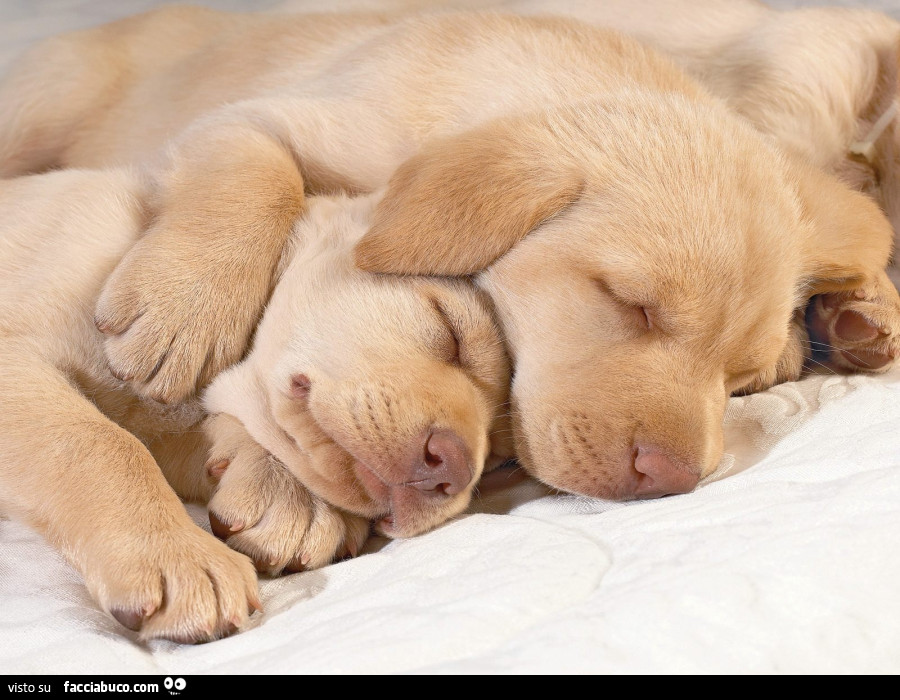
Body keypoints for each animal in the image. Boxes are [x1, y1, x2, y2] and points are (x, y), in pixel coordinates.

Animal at [0, 8, 888, 506]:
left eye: (741, 380)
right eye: (628, 303)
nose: (673, 480)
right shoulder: (248, 119)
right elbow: (253, 172)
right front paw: (186, 307)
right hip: (42, 100)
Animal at [1, 170, 512, 640]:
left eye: (501, 463)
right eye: (450, 331)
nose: (455, 471)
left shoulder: (167, 422)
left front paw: (289, 495)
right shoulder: (18, 363)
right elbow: (102, 443)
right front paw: (179, 554)